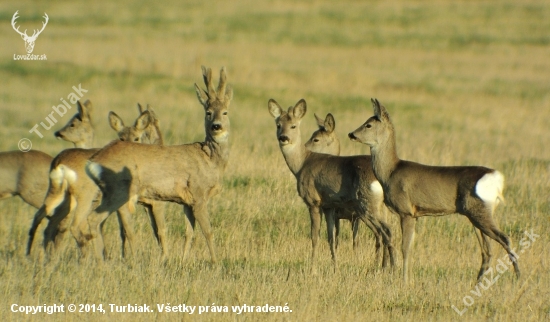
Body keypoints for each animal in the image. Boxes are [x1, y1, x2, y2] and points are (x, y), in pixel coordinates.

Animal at [85, 66, 234, 262]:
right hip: (118, 191)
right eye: (208, 112)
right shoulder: (198, 194)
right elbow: (208, 232)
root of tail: (94, 160)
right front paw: (216, 262)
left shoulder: (187, 201)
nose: (216, 126)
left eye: (225, 112)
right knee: (94, 220)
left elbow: (189, 233)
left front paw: (183, 260)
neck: (209, 159)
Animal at [350, 98, 520, 282]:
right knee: (488, 250)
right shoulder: (416, 215)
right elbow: (411, 247)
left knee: (505, 239)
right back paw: (479, 281)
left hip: (479, 212)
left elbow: (405, 248)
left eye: (368, 125)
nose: (351, 134)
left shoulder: (406, 211)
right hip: (477, 214)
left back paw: (518, 277)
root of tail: (497, 178)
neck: (391, 172)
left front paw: (404, 280)